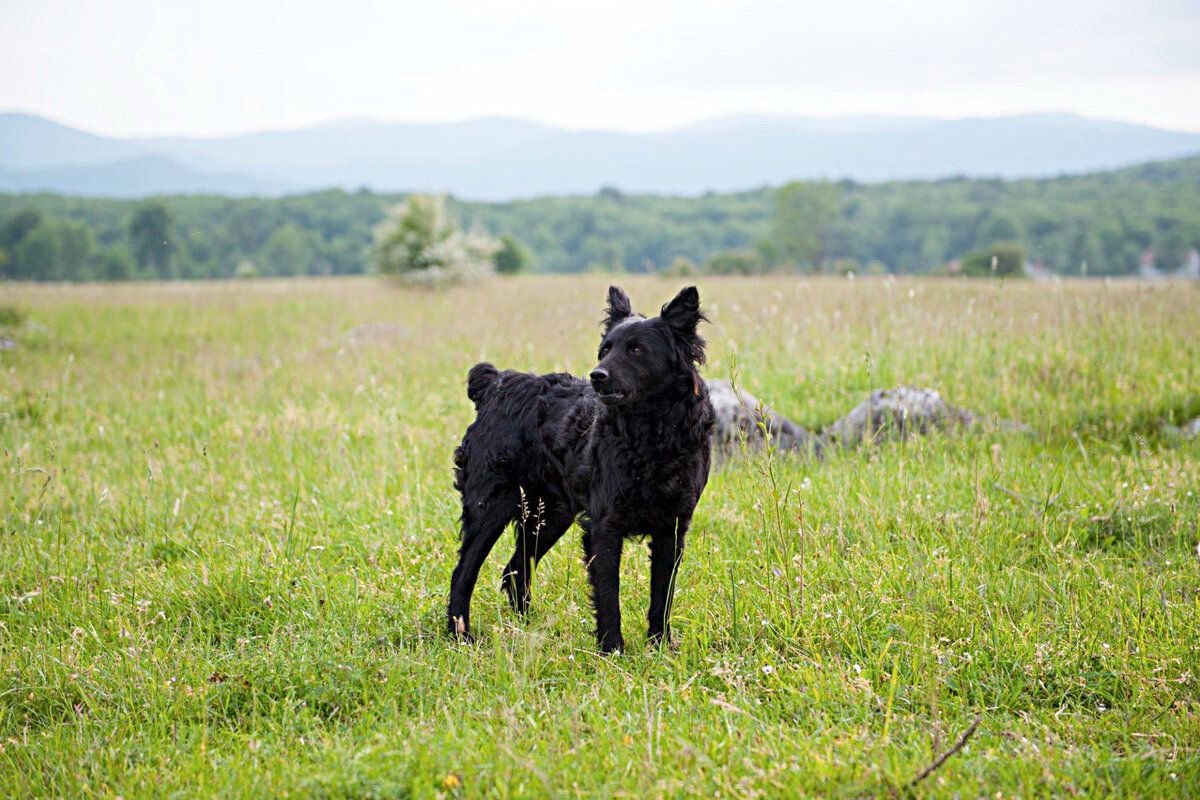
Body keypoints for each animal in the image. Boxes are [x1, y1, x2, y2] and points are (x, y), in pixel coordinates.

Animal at [448, 286, 710, 652]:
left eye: (637, 350)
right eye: (605, 350)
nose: (597, 376)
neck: (651, 434)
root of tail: (496, 384)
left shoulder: (672, 528)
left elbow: (662, 595)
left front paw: (660, 646)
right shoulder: (604, 525)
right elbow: (608, 594)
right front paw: (612, 648)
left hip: (549, 515)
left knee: (515, 571)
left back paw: (528, 627)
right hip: (491, 508)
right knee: (464, 572)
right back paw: (460, 634)